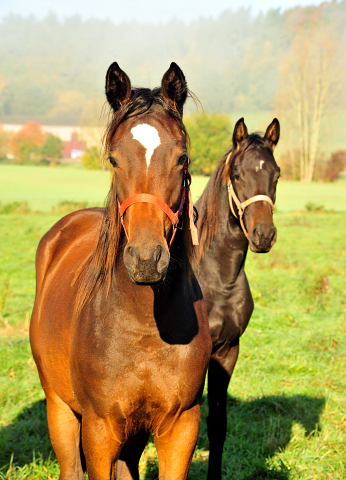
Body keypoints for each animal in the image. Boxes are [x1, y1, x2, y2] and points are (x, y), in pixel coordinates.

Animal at [30, 62, 211, 480]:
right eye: (114, 159)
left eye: (182, 158)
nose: (146, 259)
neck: (144, 327)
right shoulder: (99, 430)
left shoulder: (181, 426)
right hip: (59, 408)